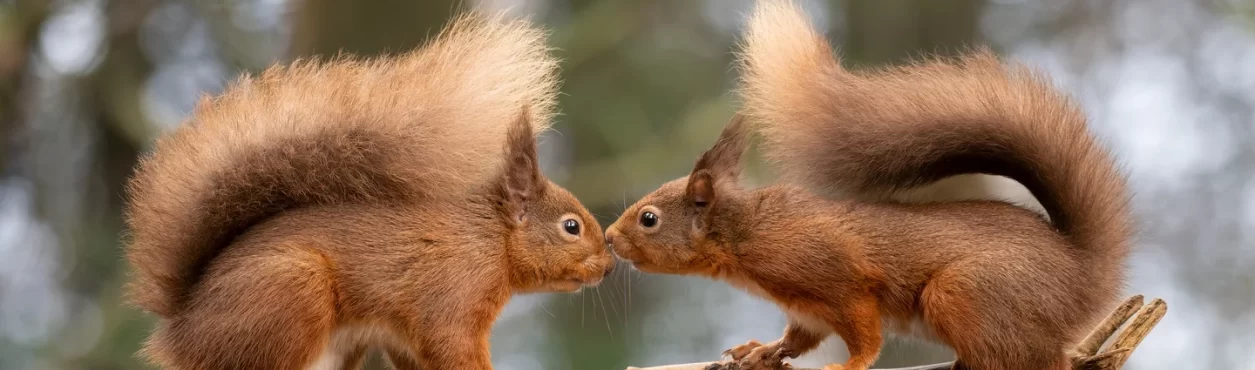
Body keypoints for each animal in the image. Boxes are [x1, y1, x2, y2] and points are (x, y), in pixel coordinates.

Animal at [122, 11, 612, 370]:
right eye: (571, 226)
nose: (609, 266)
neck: (491, 240)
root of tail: (184, 328)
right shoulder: (452, 294)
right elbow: (451, 345)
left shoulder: (404, 337)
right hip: (290, 294)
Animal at [602, 1, 1134, 368]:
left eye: (648, 219)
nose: (607, 238)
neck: (747, 233)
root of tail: (1084, 276)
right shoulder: (807, 310)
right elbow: (797, 338)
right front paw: (762, 350)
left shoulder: (838, 278)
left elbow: (865, 334)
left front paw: (850, 363)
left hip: (968, 291)